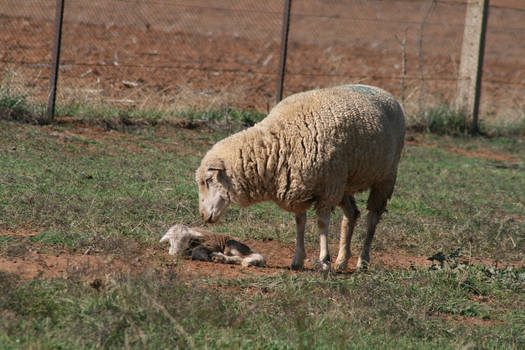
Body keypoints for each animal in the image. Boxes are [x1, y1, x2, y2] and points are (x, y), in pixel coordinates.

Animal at [194, 85, 404, 270]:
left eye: (208, 180)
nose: (203, 216)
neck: (277, 143)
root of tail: (386, 93)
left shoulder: (327, 189)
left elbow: (322, 223)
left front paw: (324, 260)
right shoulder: (298, 187)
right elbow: (300, 223)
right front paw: (298, 259)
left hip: (384, 177)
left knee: (373, 217)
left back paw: (363, 261)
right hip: (344, 182)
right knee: (352, 214)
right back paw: (342, 260)